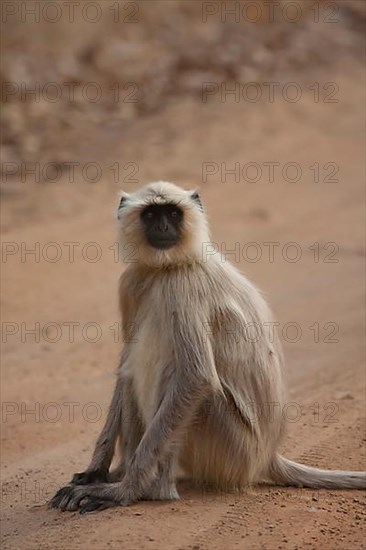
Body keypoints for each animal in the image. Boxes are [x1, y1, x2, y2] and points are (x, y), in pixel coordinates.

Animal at [49, 183, 366, 516]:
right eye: (151, 215)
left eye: (173, 213)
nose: (163, 227)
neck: (168, 266)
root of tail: (267, 456)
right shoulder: (131, 281)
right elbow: (124, 364)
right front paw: (95, 472)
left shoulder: (182, 284)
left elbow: (196, 377)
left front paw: (123, 491)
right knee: (134, 369)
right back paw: (119, 474)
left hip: (230, 449)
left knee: (173, 368)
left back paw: (152, 488)